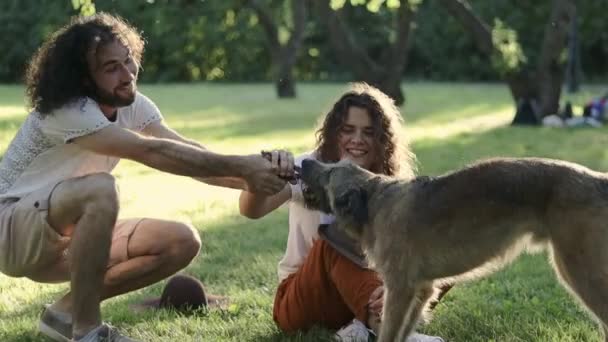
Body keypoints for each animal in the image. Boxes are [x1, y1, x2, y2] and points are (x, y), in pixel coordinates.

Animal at [302, 158, 608, 342]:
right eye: (334, 163)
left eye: (330, 171)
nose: (304, 161)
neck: (374, 202)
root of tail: (598, 180)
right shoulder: (421, 290)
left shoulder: (400, 290)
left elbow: (388, 334)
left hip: (580, 273)